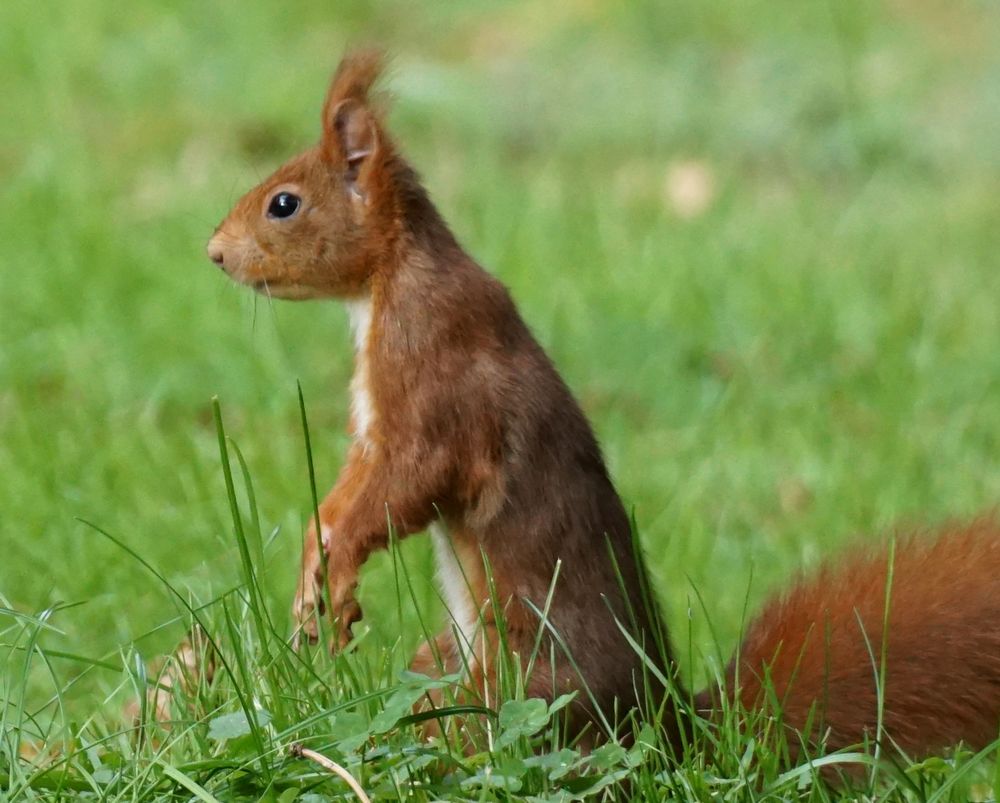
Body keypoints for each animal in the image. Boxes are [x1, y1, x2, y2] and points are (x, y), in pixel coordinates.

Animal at [206, 50, 1000, 760]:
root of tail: (674, 723)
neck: (388, 286)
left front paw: (335, 572)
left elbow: (411, 482)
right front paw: (313, 569)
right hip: (451, 662)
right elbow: (345, 496)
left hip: (517, 685)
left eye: (284, 203)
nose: (214, 253)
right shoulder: (372, 434)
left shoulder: (436, 383)